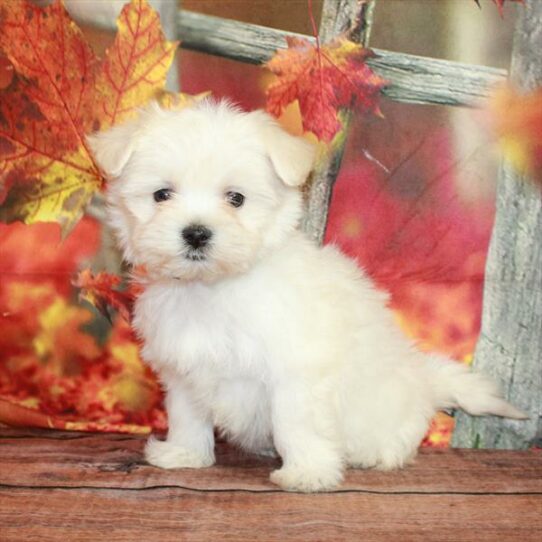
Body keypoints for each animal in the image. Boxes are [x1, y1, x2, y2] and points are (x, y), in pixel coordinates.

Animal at [89, 100, 528, 496]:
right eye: (162, 194)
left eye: (236, 198)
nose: (196, 233)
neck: (213, 287)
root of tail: (423, 382)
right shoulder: (183, 368)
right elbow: (187, 414)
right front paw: (184, 455)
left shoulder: (296, 370)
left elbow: (295, 423)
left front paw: (308, 474)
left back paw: (373, 453)